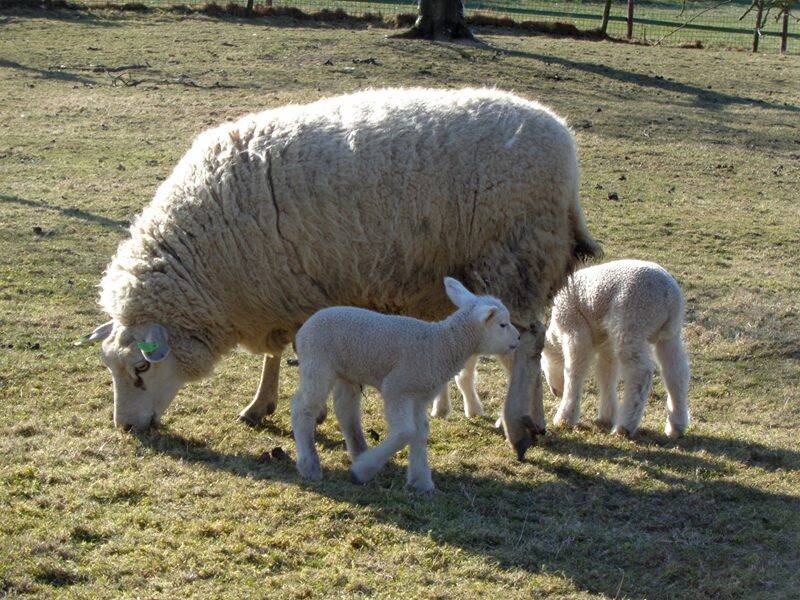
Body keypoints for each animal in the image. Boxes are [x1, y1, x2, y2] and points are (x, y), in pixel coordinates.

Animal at [84, 87, 600, 460]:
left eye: (141, 368)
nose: (126, 429)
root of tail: (567, 144)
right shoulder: (278, 288)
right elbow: (274, 352)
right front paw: (260, 404)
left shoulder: (295, 289)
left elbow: (294, 351)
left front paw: (297, 413)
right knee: (530, 346)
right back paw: (531, 419)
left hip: (514, 255)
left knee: (528, 343)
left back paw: (516, 427)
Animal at [292, 278, 520, 490]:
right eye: (502, 324)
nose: (518, 338)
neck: (442, 344)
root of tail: (305, 328)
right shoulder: (397, 388)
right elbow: (406, 432)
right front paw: (362, 471)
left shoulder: (419, 396)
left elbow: (421, 431)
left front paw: (421, 481)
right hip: (318, 363)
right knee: (303, 408)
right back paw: (309, 465)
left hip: (346, 372)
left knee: (345, 409)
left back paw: (357, 451)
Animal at [541, 260, 690, 439]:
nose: (555, 392)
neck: (557, 334)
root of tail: (668, 296)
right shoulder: (607, 343)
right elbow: (606, 374)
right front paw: (607, 416)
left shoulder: (575, 330)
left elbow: (575, 371)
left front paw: (565, 418)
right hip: (669, 333)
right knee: (676, 373)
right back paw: (676, 426)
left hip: (632, 321)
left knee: (640, 371)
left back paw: (625, 426)